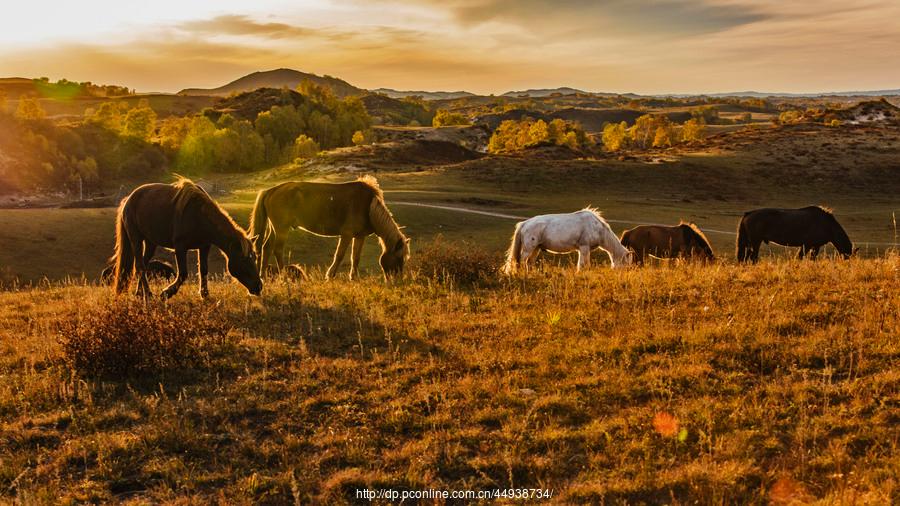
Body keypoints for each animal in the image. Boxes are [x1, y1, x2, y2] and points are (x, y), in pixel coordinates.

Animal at [110, 178, 262, 298]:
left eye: (254, 257)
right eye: (244, 259)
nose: (259, 286)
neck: (199, 216)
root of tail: (128, 200)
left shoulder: (204, 246)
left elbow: (203, 270)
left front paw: (205, 294)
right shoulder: (180, 247)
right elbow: (183, 274)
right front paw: (166, 293)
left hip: (150, 242)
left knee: (142, 264)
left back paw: (140, 293)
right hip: (136, 239)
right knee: (140, 266)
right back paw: (147, 293)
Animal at [250, 176, 412, 280]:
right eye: (399, 258)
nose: (396, 281)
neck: (368, 207)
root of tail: (271, 190)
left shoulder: (359, 236)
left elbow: (355, 258)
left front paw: (354, 278)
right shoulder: (346, 234)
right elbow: (339, 255)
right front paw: (330, 275)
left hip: (275, 228)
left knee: (266, 247)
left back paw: (262, 276)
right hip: (282, 228)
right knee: (277, 250)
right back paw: (283, 276)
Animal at [500, 208, 632, 274]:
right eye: (627, 264)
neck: (598, 228)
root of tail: (524, 223)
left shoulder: (583, 249)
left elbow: (583, 264)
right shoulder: (584, 247)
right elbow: (584, 265)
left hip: (536, 249)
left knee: (529, 263)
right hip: (529, 248)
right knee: (521, 262)